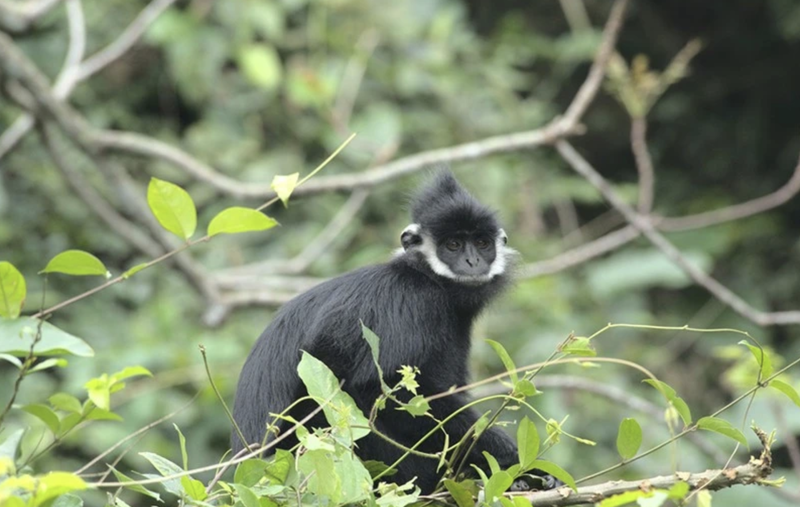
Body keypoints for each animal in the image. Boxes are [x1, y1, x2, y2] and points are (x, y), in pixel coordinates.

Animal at [231, 170, 556, 492]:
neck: (426, 277)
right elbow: (371, 387)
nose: (473, 261)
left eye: (482, 243)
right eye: (453, 245)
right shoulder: (407, 301)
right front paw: (510, 457)